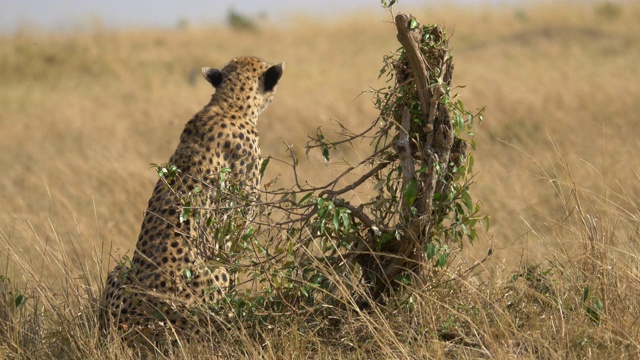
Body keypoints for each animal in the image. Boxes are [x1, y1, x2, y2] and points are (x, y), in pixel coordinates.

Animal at [99, 55, 282, 344]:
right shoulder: (236, 220)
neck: (229, 104)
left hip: (119, 271)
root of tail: (136, 321)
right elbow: (234, 254)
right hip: (209, 277)